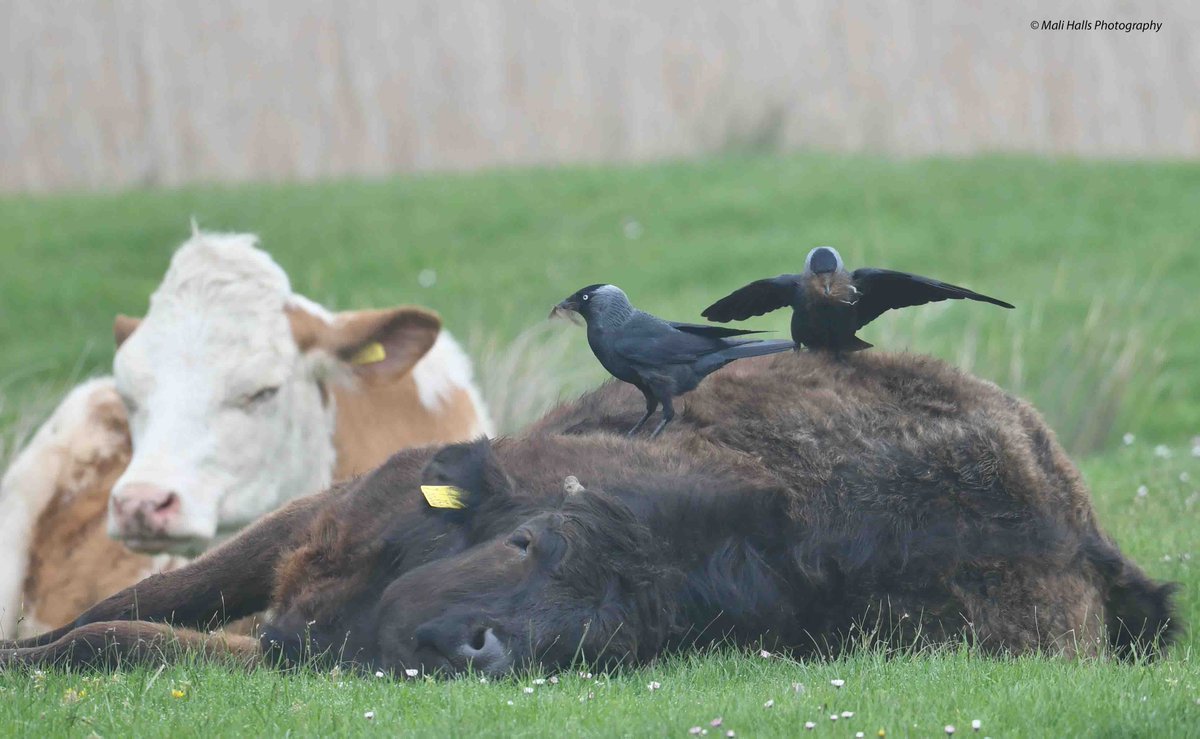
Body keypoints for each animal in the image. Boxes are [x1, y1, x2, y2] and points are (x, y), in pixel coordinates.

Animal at [2, 355, 1180, 671]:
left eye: (623, 635)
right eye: (529, 540)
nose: (482, 646)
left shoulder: (303, 645)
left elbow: (129, 635)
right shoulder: (312, 523)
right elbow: (162, 592)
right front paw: (23, 649)